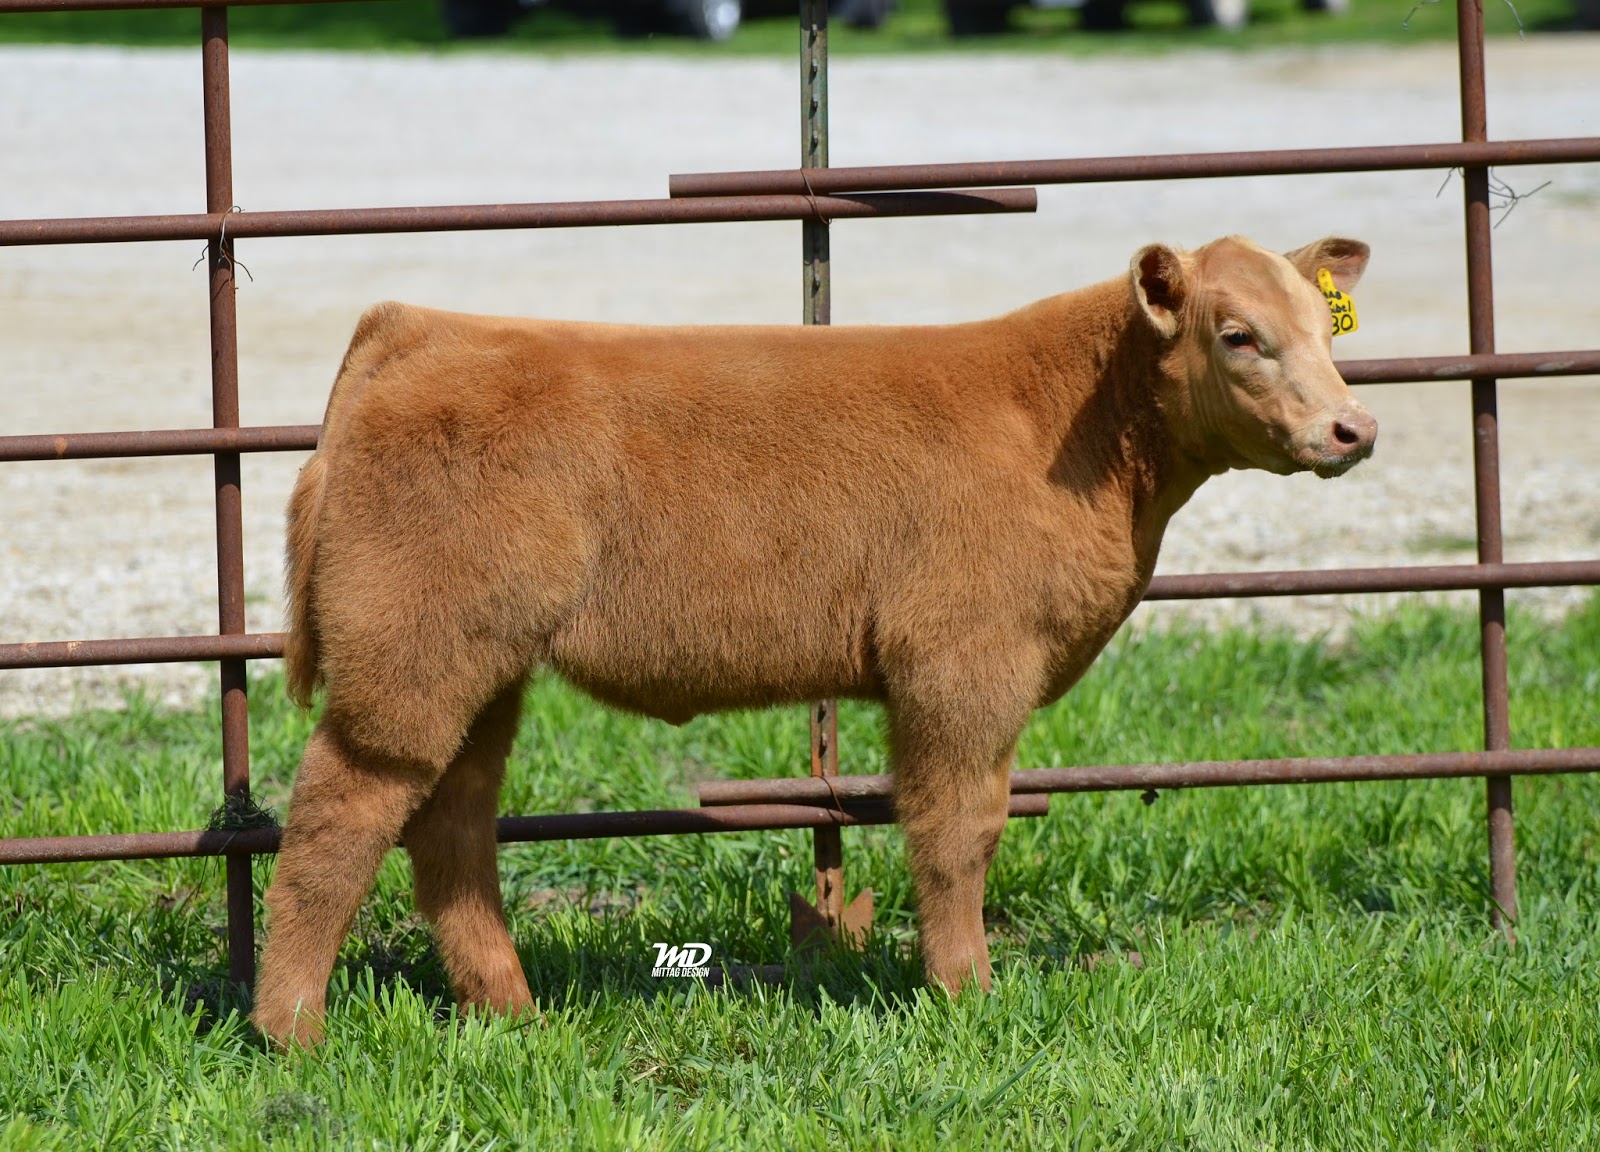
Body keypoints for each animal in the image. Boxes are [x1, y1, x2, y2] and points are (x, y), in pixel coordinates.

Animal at [252, 235, 1377, 1046]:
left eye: (1326, 330)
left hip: (481, 667)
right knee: (340, 813)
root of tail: (415, 327)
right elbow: (959, 830)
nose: (1351, 430)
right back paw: (292, 1030)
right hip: (411, 655)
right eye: (1238, 335)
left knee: (451, 820)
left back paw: (509, 1010)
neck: (1080, 427)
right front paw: (965, 994)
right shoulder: (962, 663)